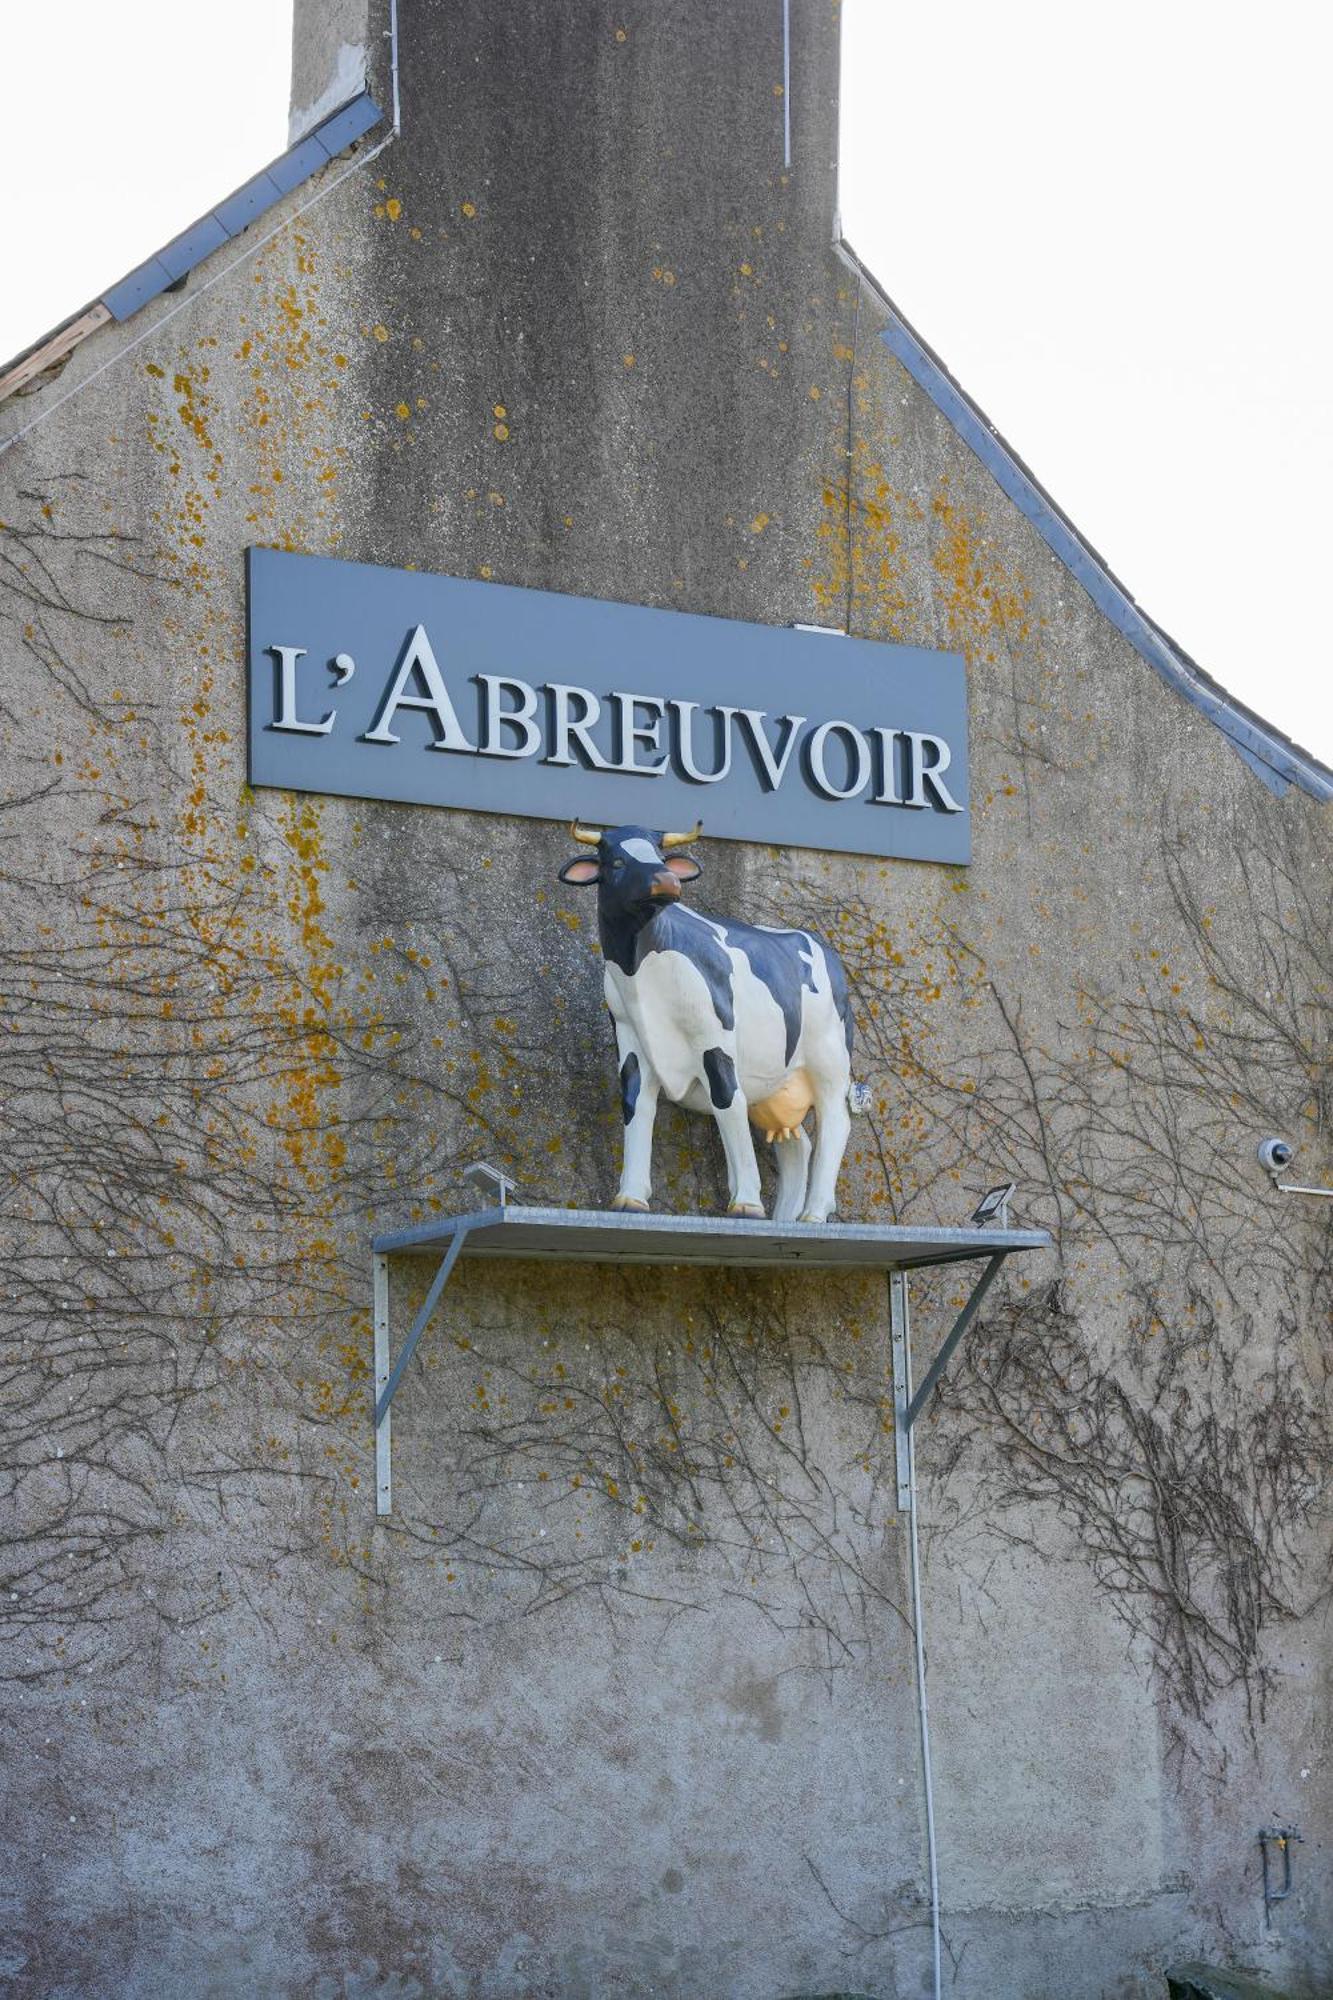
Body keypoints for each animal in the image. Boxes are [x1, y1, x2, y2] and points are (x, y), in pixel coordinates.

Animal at [556, 820, 852, 1224]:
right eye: (616, 861)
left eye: (659, 855)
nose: (666, 879)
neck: (640, 966)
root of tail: (820, 942)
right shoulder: (631, 1040)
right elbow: (635, 1104)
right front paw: (630, 1197)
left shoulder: (716, 1039)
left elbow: (728, 1101)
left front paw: (747, 1203)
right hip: (774, 1085)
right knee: (797, 1144)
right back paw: (786, 1217)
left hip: (830, 1057)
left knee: (836, 1122)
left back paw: (814, 1214)